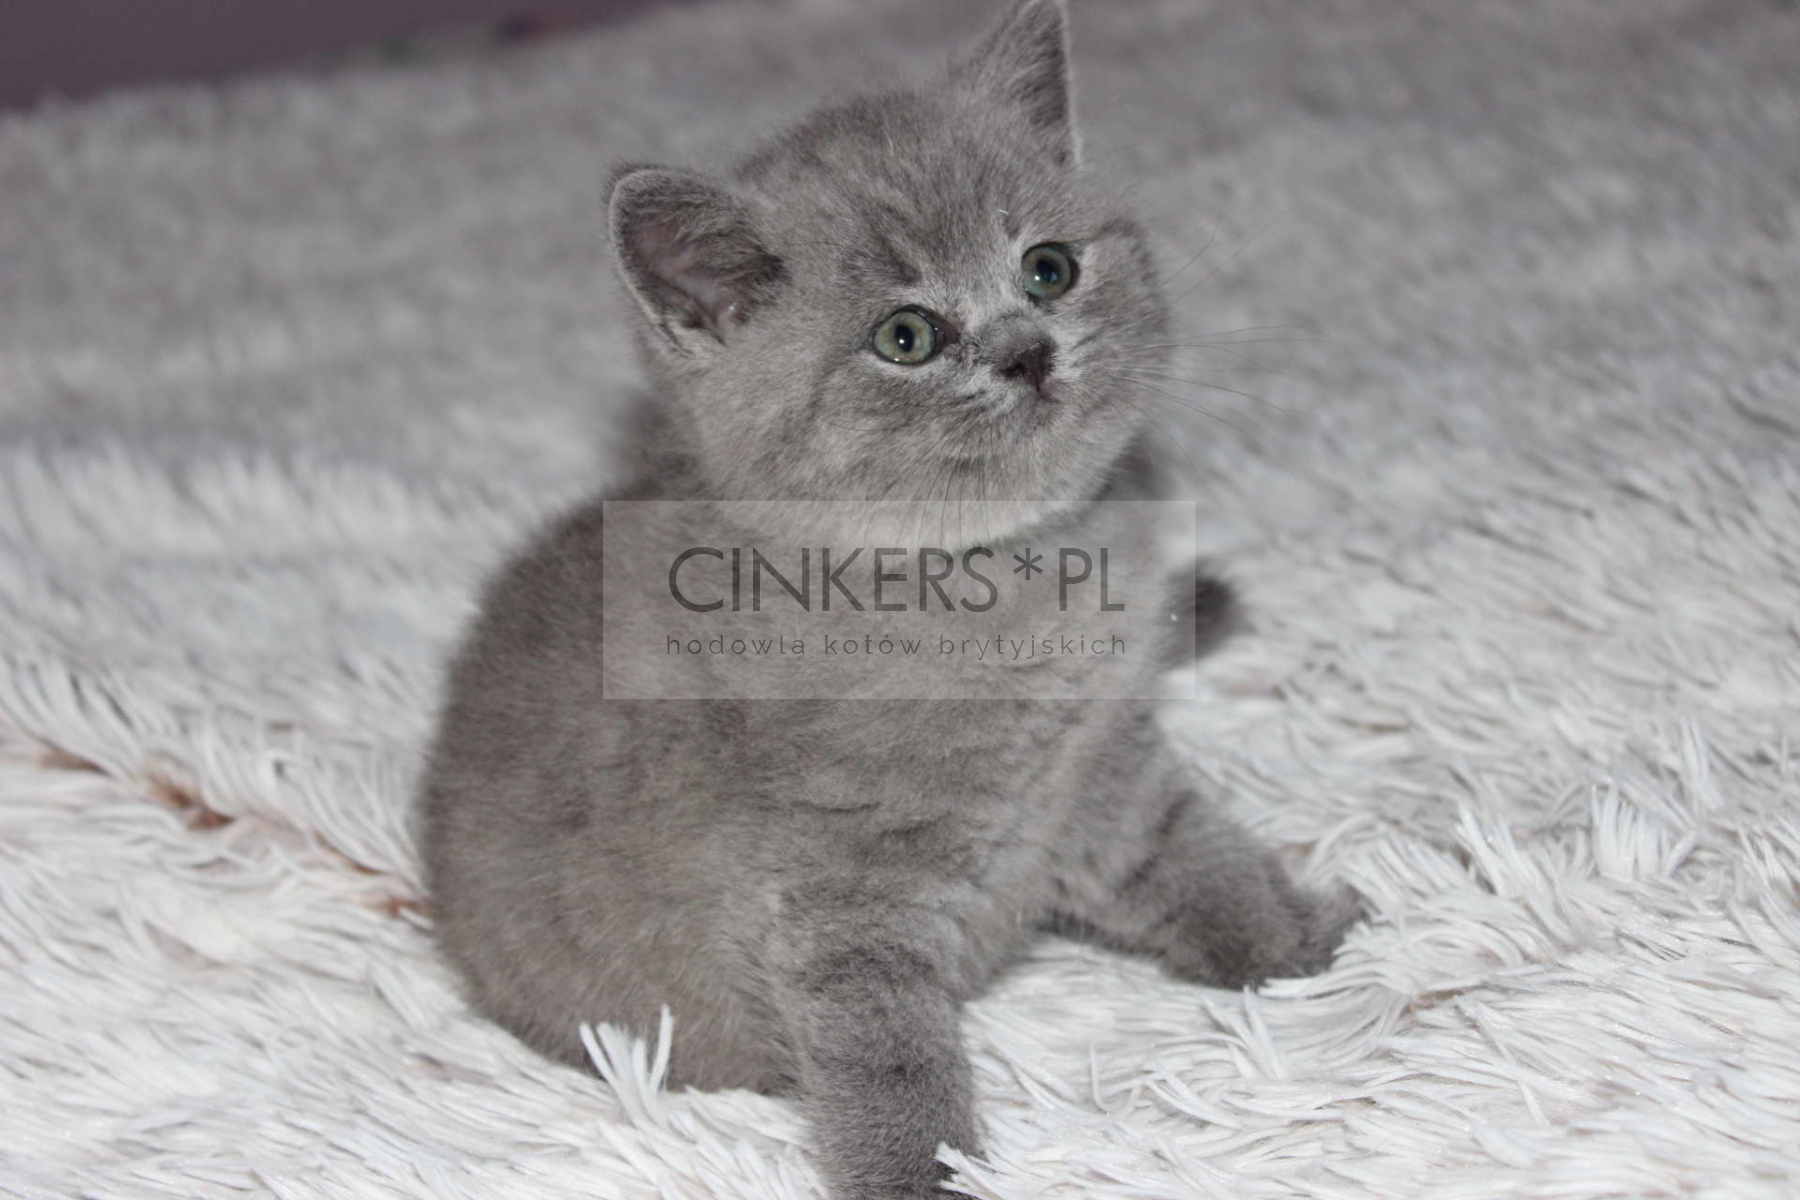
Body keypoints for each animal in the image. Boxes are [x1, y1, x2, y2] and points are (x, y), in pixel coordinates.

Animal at [418, 2, 1360, 1196]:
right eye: (905, 338)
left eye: (1047, 268)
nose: (1027, 351)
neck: (1009, 578)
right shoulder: (839, 901)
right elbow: (889, 1059)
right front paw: (928, 1178)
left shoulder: (1105, 761)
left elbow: (1192, 855)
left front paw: (1300, 945)